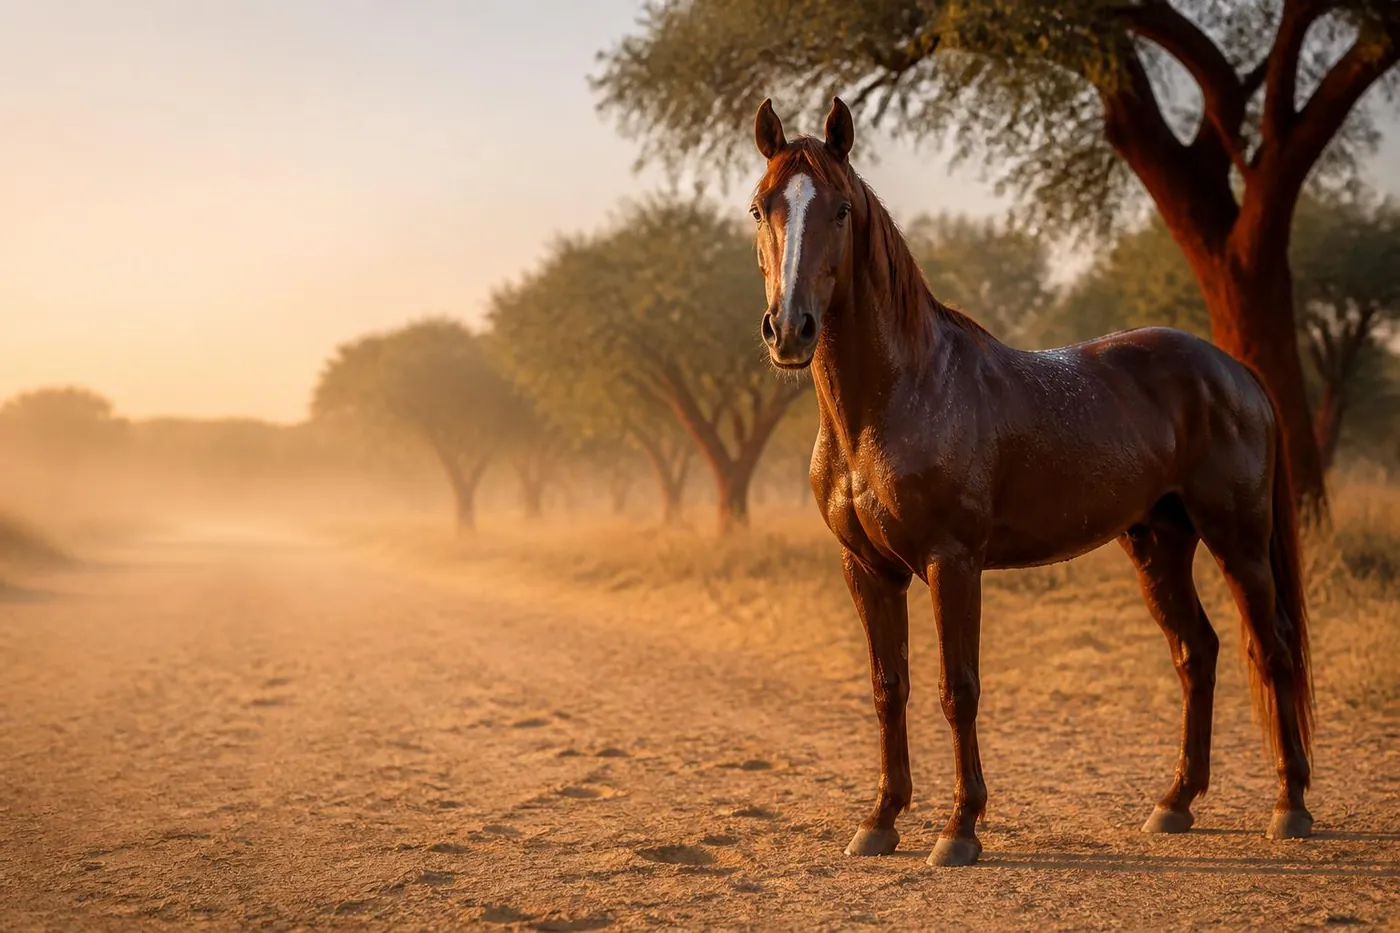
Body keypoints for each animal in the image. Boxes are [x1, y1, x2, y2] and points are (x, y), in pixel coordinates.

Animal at [748, 97, 1314, 867]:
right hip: (1159, 543)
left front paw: (959, 829)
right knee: (1197, 652)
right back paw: (1175, 803)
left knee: (1272, 646)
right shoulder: (866, 568)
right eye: (760, 207)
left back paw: (1291, 805)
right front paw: (880, 819)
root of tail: (1234, 370)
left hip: (1240, 542)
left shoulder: (952, 563)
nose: (790, 330)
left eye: (839, 209)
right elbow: (888, 687)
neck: (894, 398)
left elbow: (958, 689)